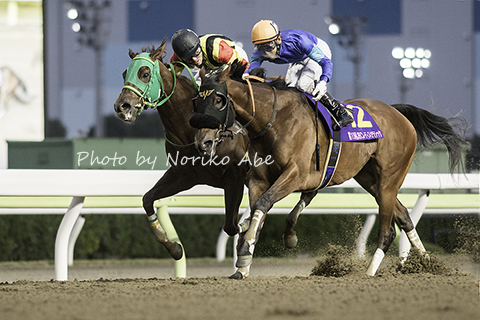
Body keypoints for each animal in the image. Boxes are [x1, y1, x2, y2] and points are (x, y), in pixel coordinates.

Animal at [112, 40, 248, 260]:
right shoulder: (183, 176)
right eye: (125, 73)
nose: (122, 107)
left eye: (144, 73)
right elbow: (147, 199)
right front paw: (174, 247)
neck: (190, 129)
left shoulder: (234, 176)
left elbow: (233, 225)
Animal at [193, 61, 466, 278]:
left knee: (387, 231)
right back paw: (428, 265)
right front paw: (244, 262)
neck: (274, 120)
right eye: (197, 100)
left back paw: (369, 273)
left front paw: (248, 251)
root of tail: (399, 114)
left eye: (218, 99)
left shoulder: (295, 174)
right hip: (371, 180)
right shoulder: (259, 180)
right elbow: (258, 214)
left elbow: (263, 206)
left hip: (390, 179)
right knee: (405, 218)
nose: (202, 142)